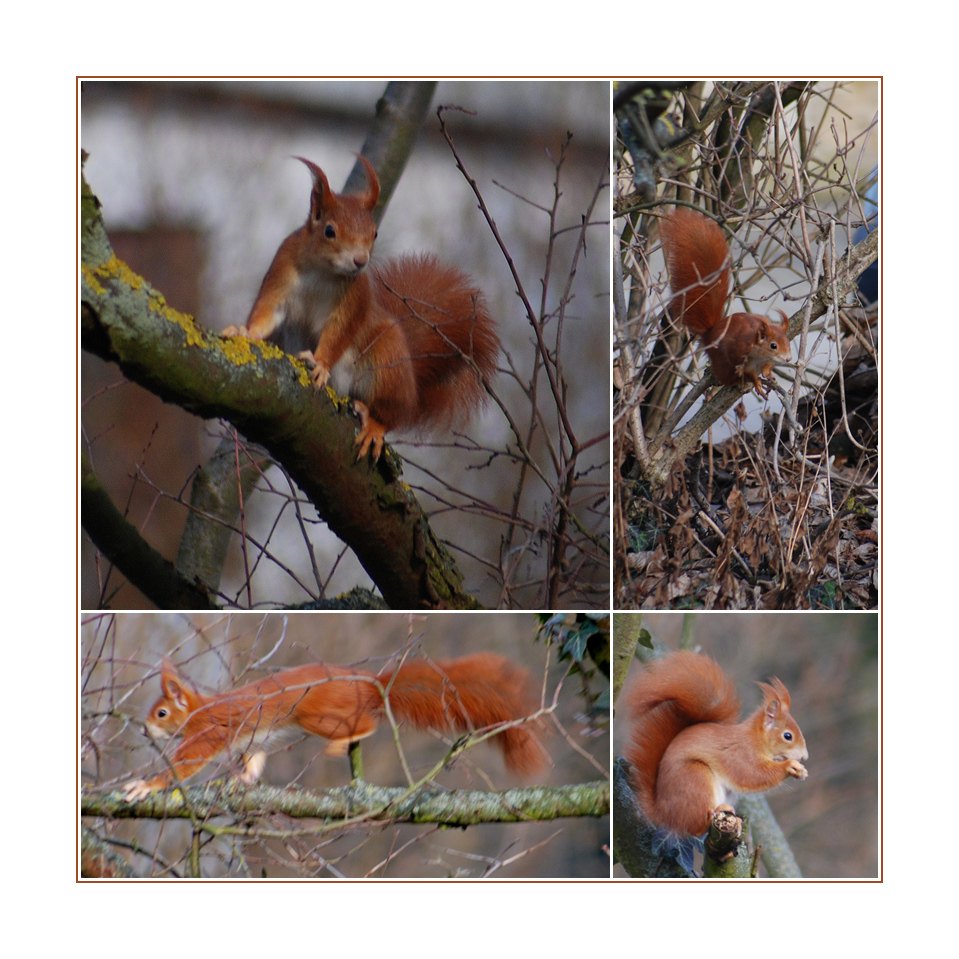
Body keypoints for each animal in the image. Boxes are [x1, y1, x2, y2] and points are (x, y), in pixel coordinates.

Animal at [121, 652, 544, 804]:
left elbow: (185, 761)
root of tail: (370, 682)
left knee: (367, 725)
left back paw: (344, 743)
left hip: (318, 717)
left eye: (161, 713)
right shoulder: (254, 740)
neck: (199, 708)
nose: (142, 731)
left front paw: (146, 785)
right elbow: (254, 761)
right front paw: (241, 780)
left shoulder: (209, 732)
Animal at [221, 157, 498, 462]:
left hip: (387, 363)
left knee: (391, 414)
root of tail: (412, 389)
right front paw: (245, 331)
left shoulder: (354, 301)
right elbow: (268, 313)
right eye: (329, 231)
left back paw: (374, 424)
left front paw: (320, 364)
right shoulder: (281, 275)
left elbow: (339, 333)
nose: (360, 261)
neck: (323, 272)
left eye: (374, 233)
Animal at [664, 207, 792, 398]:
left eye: (788, 342)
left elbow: (767, 369)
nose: (788, 358)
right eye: (773, 346)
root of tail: (710, 334)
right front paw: (757, 383)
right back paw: (738, 383)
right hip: (723, 364)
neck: (759, 355)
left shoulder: (766, 362)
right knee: (726, 377)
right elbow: (751, 374)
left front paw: (769, 376)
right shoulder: (740, 357)